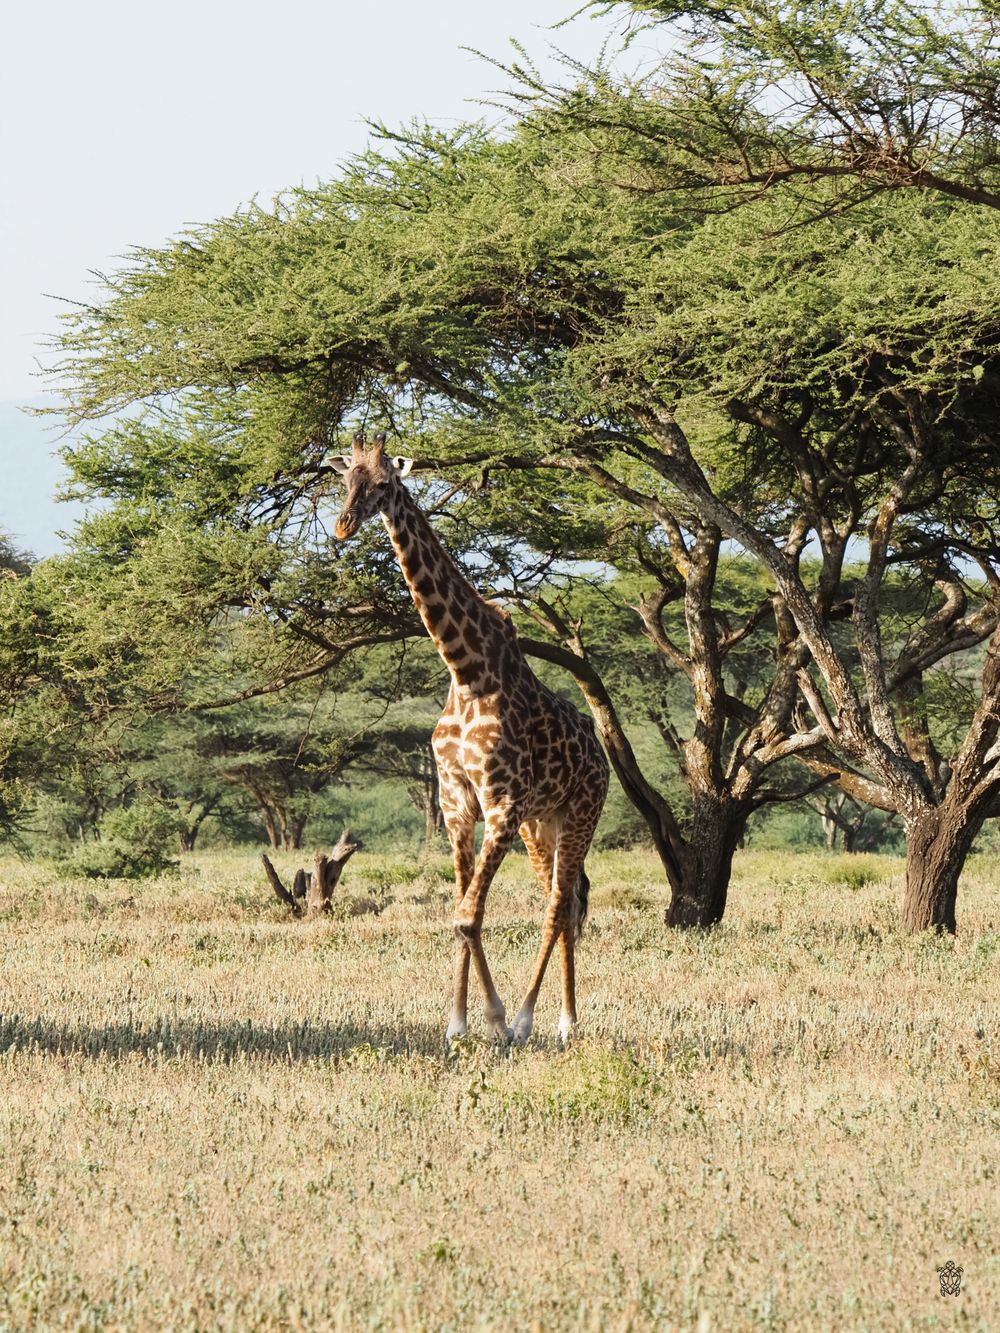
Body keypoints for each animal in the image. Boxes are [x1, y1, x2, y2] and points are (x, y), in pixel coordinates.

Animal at [331, 433, 609, 1044]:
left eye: (383, 482)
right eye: (344, 479)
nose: (341, 526)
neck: (465, 670)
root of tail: (602, 755)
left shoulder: (499, 803)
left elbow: (468, 914)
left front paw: (499, 1021)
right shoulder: (456, 799)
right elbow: (462, 913)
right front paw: (459, 1024)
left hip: (580, 812)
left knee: (560, 904)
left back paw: (550, 1020)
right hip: (540, 825)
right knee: (565, 901)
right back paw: (559, 1018)